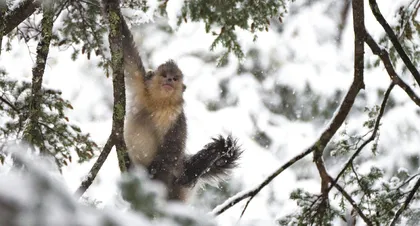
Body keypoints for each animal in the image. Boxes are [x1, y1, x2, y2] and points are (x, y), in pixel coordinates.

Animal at [110, 9, 243, 201]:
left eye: (174, 78)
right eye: (165, 75)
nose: (169, 80)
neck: (158, 103)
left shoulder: (176, 116)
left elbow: (172, 146)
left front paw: (153, 174)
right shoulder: (141, 84)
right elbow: (127, 51)